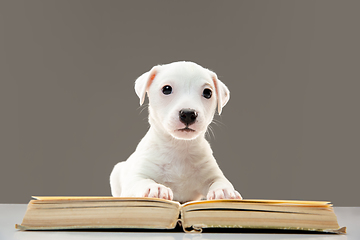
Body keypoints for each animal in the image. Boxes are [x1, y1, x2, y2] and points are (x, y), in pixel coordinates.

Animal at [110, 60, 242, 202]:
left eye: (208, 92)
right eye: (166, 89)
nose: (188, 114)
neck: (179, 147)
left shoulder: (211, 172)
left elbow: (220, 181)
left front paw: (224, 190)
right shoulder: (135, 179)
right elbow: (141, 181)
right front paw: (155, 188)